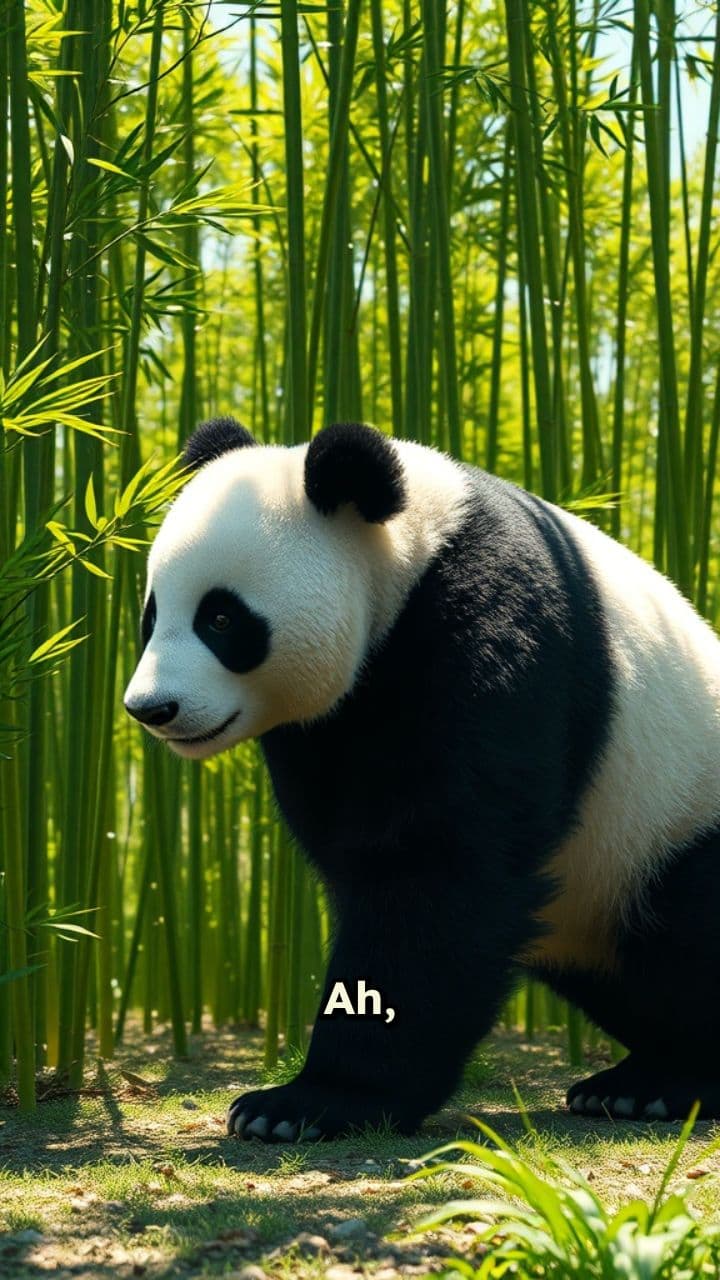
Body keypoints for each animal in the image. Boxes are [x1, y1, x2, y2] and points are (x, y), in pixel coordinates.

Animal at [124, 418, 720, 1140]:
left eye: (220, 618)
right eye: (152, 616)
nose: (151, 709)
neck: (412, 553)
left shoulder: (494, 624)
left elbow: (436, 866)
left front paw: (307, 1103)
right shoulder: (325, 729)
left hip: (674, 813)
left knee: (685, 938)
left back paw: (669, 1084)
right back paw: (636, 1082)